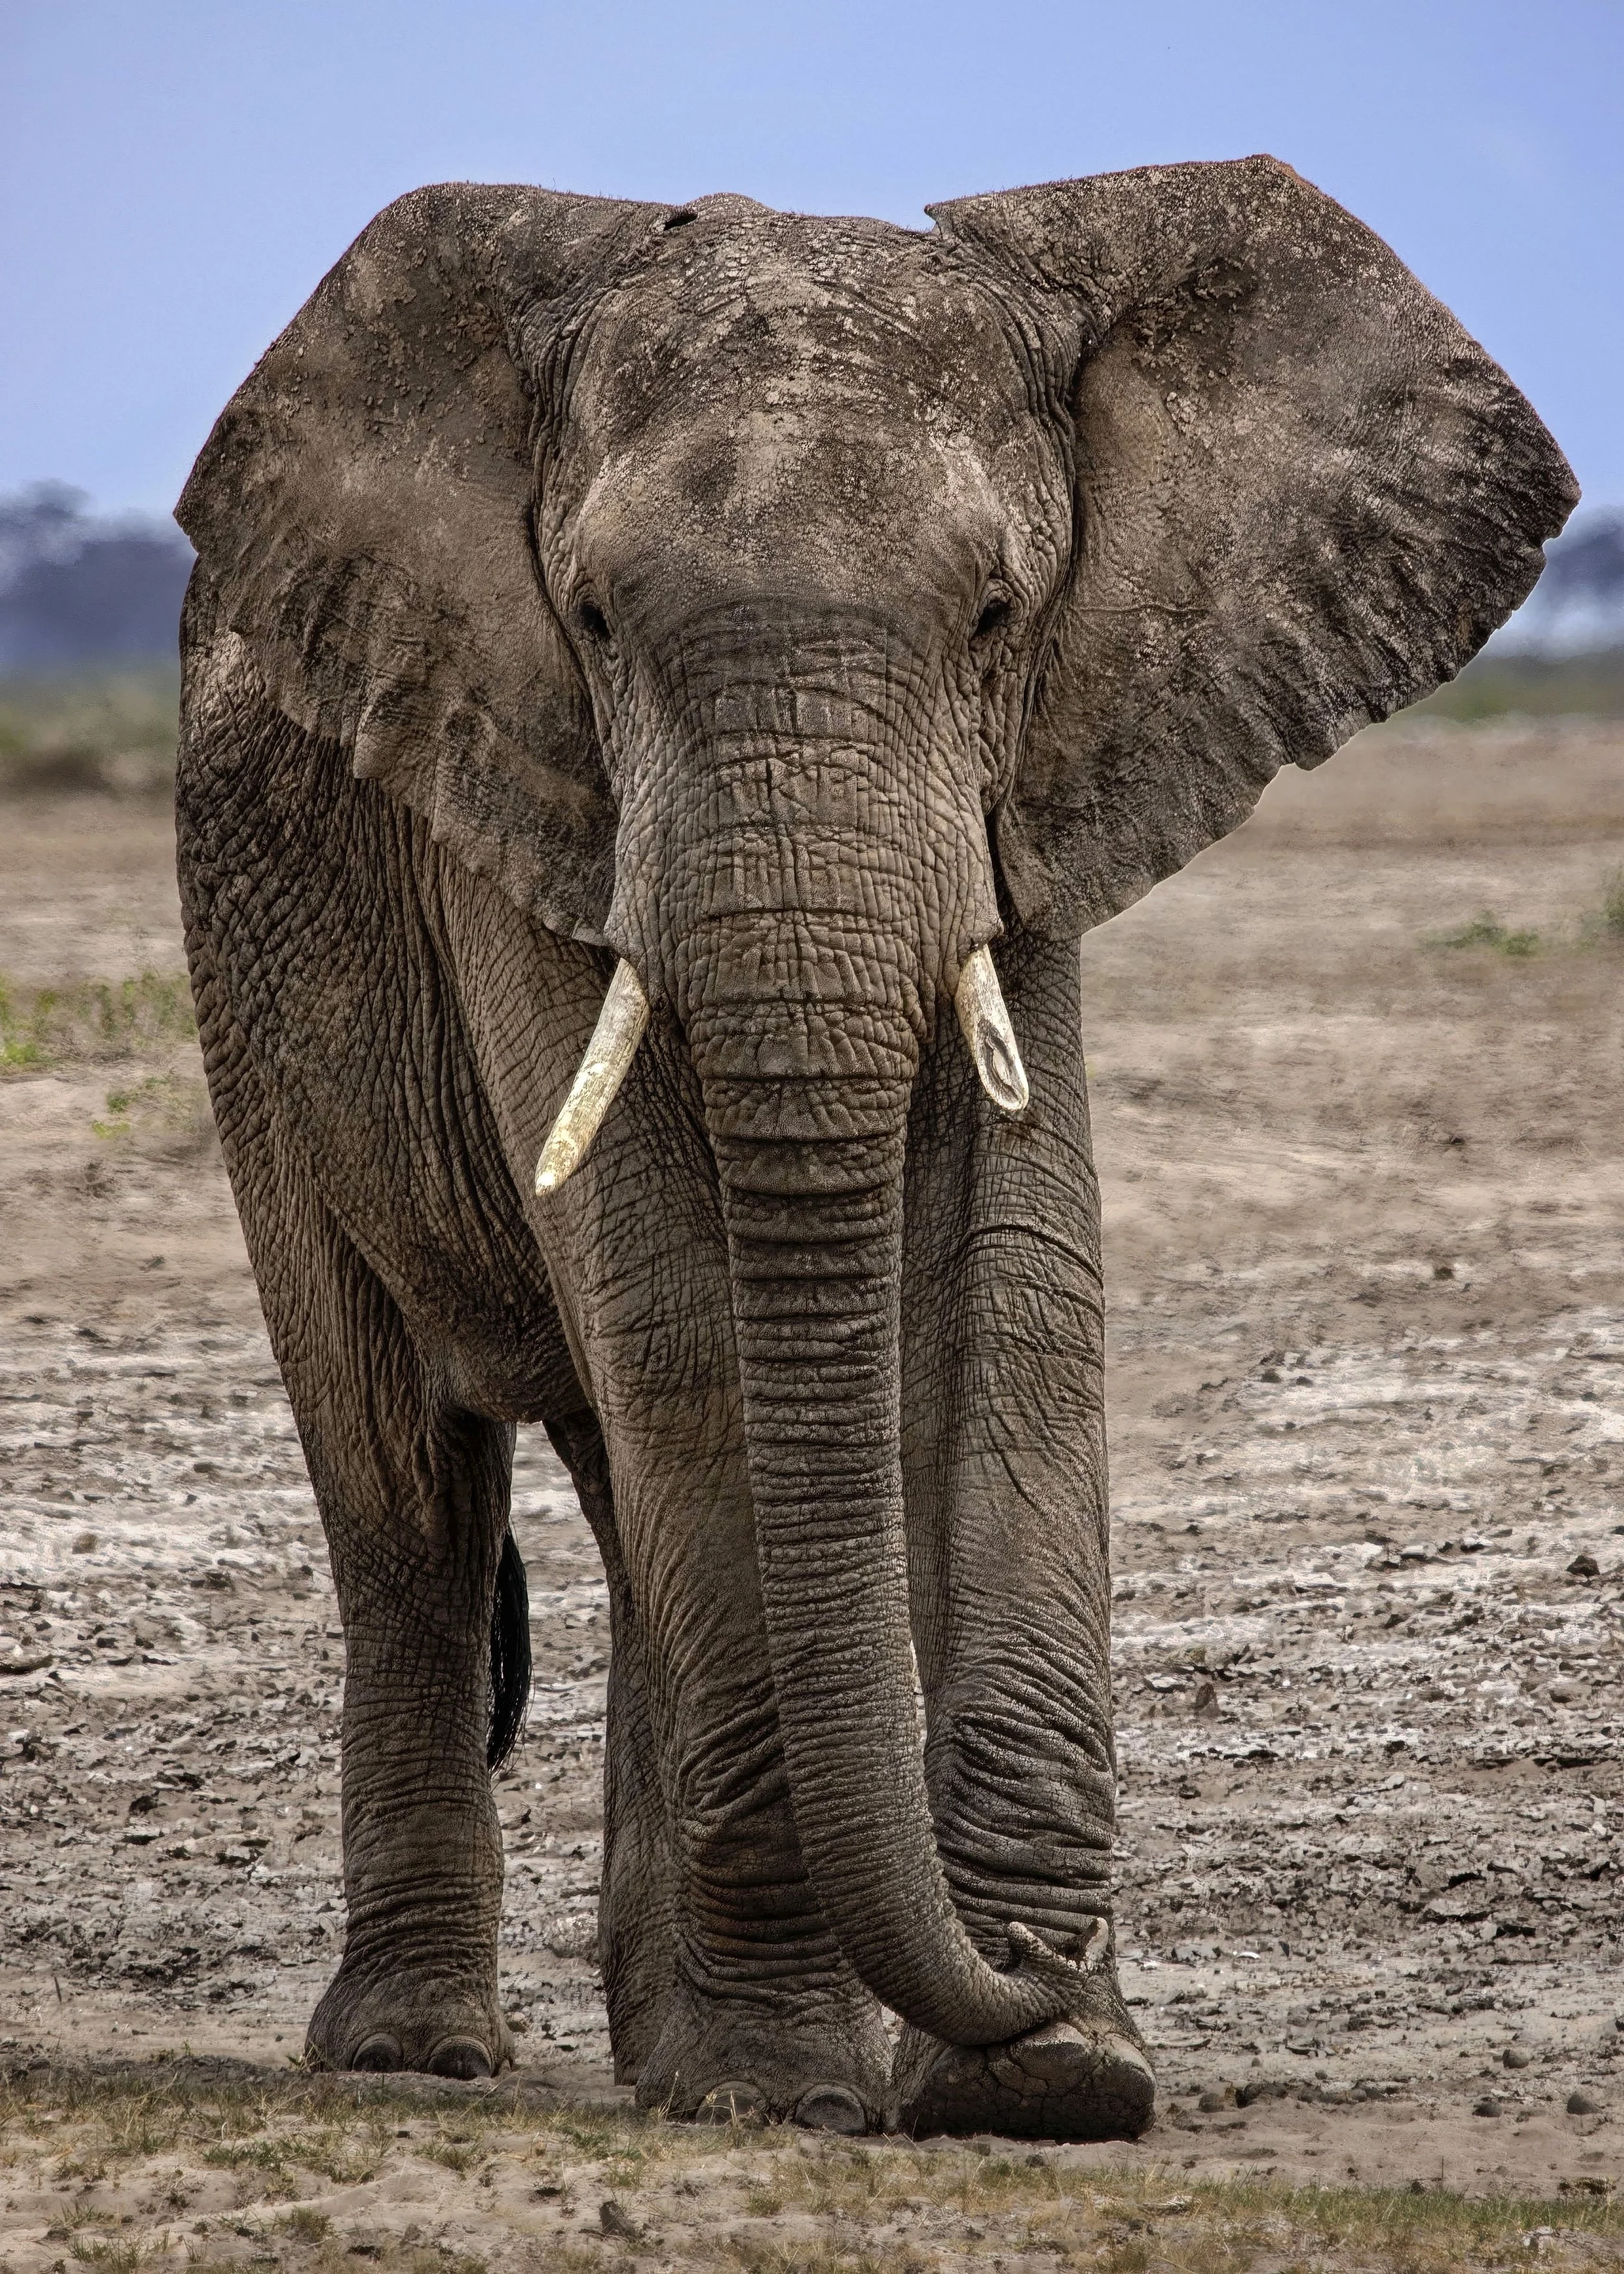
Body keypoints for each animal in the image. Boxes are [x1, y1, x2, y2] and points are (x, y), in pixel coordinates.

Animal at [172, 156, 1574, 2141]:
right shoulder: (510, 764)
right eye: (592, 622)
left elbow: (1021, 1285)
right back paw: (425, 2057)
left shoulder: (1049, 766)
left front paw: (1046, 2075)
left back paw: (650, 2048)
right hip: (244, 989)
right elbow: (673, 1311)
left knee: (614, 1486)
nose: (1024, 1968)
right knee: (404, 1486)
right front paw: (805, 2083)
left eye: (994, 618)